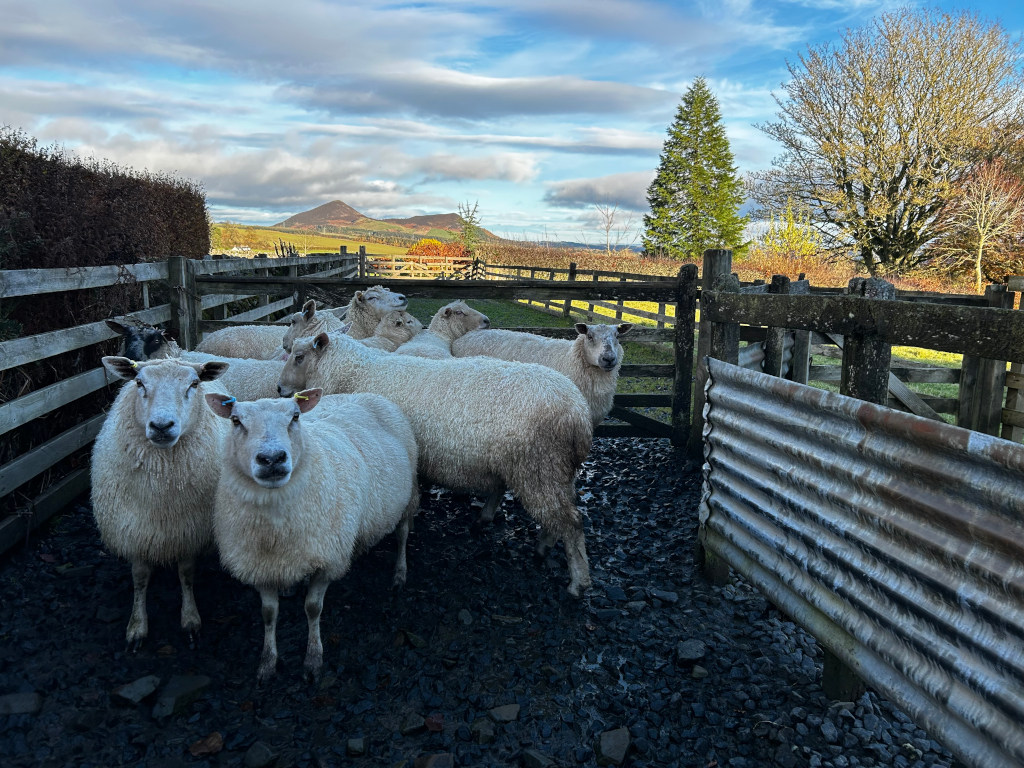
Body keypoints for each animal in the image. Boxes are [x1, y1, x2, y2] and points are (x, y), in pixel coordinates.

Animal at [91, 356, 230, 650]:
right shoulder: (134, 531)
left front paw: (190, 620)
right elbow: (140, 577)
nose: (162, 427)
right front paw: (137, 627)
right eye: (139, 383)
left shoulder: (187, 531)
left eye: (194, 384)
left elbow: (186, 574)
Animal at [205, 388, 419, 682]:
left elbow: (313, 608)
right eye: (236, 421)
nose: (272, 459)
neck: (274, 526)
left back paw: (399, 573)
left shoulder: (327, 559)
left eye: (295, 416)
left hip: (408, 496)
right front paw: (267, 662)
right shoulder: (259, 564)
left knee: (402, 535)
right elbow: (268, 614)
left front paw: (313, 659)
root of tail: (367, 393)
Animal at [278, 331, 594, 597]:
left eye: (299, 356)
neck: (356, 372)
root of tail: (578, 414)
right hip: (553, 469)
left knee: (571, 521)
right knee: (561, 513)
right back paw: (538, 544)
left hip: (539, 466)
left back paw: (577, 581)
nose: (279, 387)